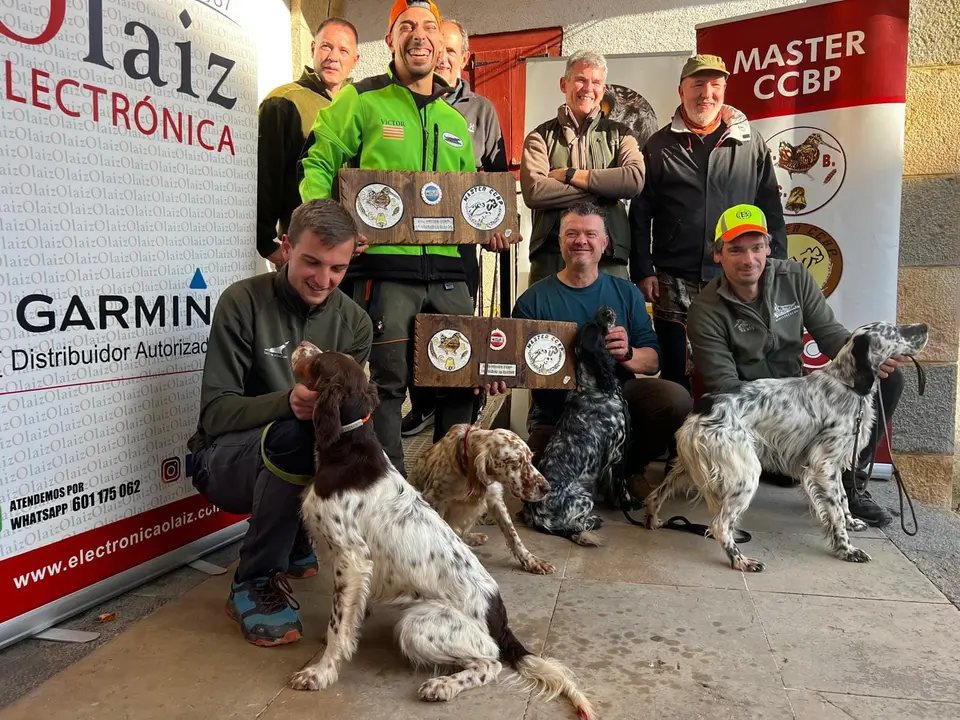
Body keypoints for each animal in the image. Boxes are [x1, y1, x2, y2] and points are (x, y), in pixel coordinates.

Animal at [520, 306, 632, 544]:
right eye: (598, 329)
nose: (605, 309)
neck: (592, 387)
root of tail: (538, 516)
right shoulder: (617, 452)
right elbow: (621, 483)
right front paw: (628, 503)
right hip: (584, 497)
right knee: (573, 524)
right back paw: (592, 521)